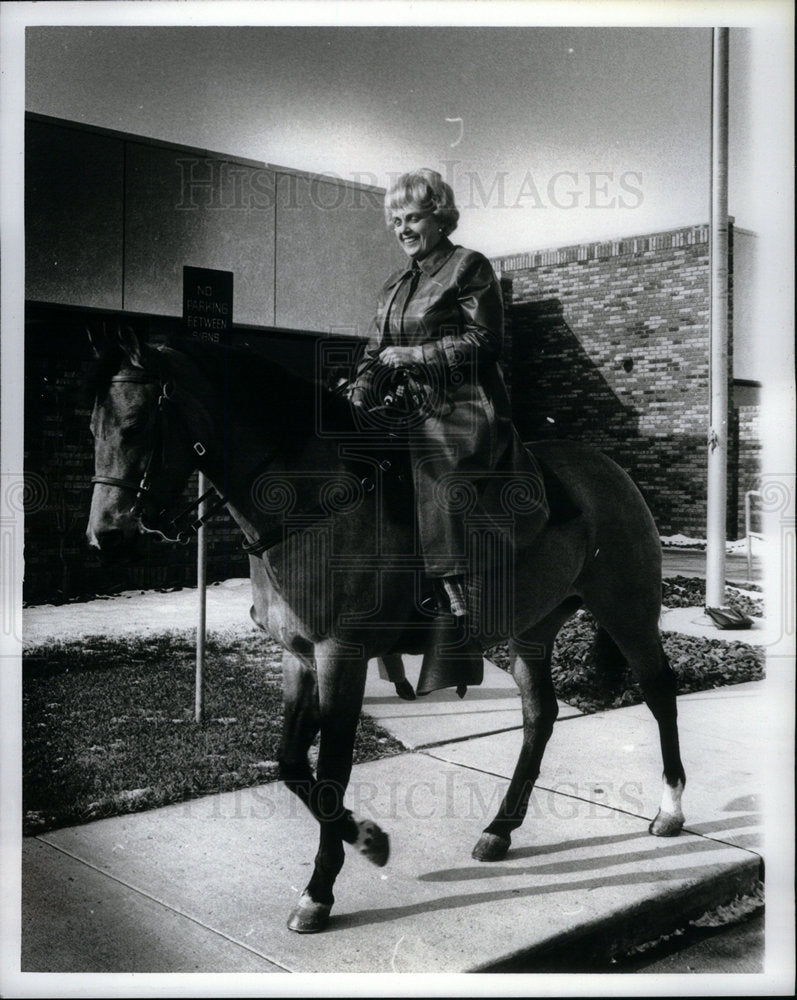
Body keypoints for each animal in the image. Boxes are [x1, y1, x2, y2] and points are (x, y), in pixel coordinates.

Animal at [85, 324, 684, 932]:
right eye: (92, 429)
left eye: (136, 426)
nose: (105, 535)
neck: (310, 502)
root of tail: (611, 470)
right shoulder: (298, 656)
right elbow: (290, 762)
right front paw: (366, 838)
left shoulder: (340, 654)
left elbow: (331, 766)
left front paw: (323, 887)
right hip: (531, 630)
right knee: (540, 716)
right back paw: (499, 830)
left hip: (627, 609)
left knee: (659, 691)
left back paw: (670, 812)